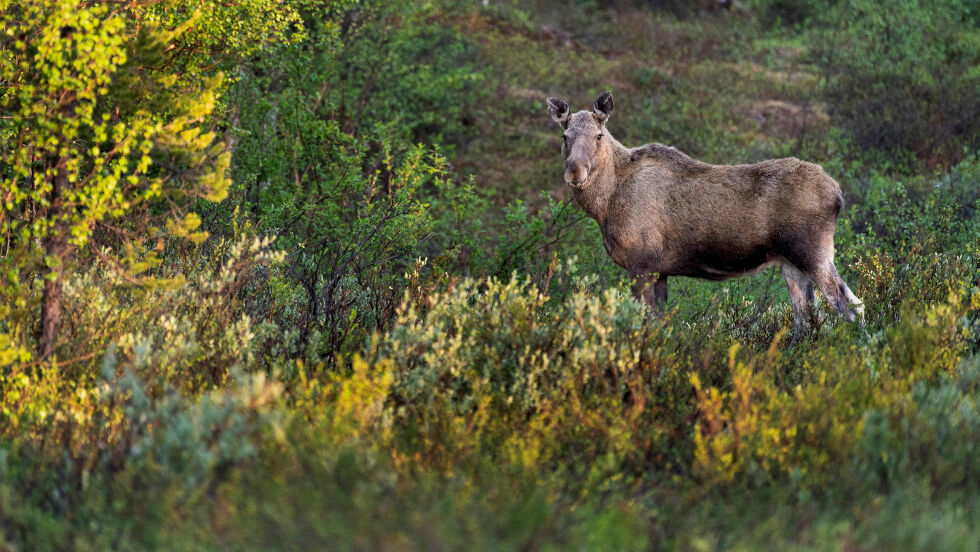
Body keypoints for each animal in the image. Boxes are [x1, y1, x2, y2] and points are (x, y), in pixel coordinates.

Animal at [548, 91, 860, 342]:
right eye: (565, 136)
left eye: (598, 135)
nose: (574, 172)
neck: (605, 204)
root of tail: (837, 195)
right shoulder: (660, 270)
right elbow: (659, 323)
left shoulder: (641, 264)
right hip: (791, 263)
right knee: (806, 320)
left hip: (813, 253)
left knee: (850, 306)